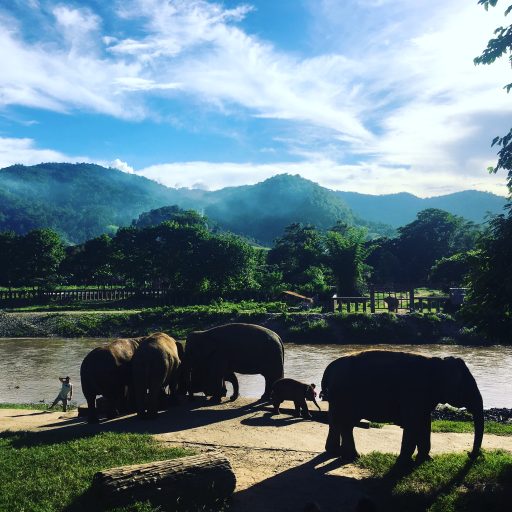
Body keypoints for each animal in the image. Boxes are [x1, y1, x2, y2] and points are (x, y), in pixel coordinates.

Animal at [320, 352, 484, 464]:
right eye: (466, 387)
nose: (470, 454)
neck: (437, 363)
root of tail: (330, 367)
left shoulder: (423, 400)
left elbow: (425, 423)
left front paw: (425, 460)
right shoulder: (414, 394)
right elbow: (412, 423)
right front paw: (405, 463)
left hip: (338, 397)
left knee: (336, 421)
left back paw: (336, 452)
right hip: (346, 396)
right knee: (347, 424)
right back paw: (353, 456)